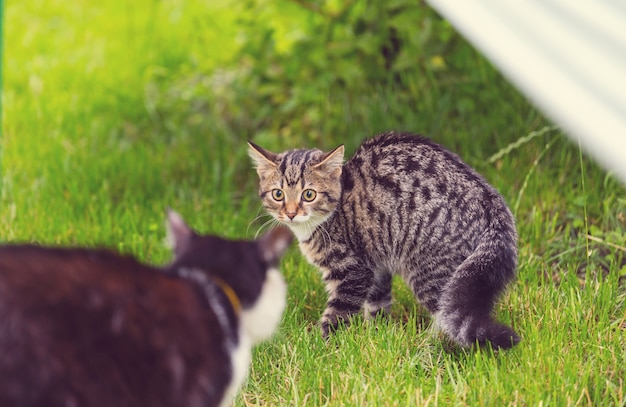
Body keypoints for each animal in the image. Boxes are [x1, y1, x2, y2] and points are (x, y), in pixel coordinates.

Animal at [247, 132, 516, 350]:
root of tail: (491, 204)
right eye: (278, 194)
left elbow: (336, 314)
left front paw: (319, 349)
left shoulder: (353, 271)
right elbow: (378, 303)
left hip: (431, 270)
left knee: (448, 315)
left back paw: (426, 349)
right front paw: (377, 336)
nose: (291, 213)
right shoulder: (376, 262)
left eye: (309, 194)